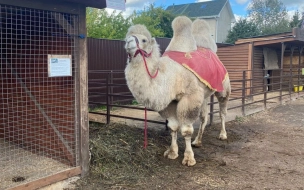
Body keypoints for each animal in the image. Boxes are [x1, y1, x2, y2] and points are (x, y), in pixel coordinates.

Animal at [123, 15, 230, 166]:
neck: (170, 76)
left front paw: (189, 158)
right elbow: (173, 127)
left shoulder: (189, 98)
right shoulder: (171, 101)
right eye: (126, 37)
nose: (128, 42)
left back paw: (222, 135)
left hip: (223, 86)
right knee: (204, 117)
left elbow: (186, 130)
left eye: (144, 40)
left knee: (222, 111)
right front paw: (172, 152)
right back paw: (197, 141)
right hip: (203, 95)